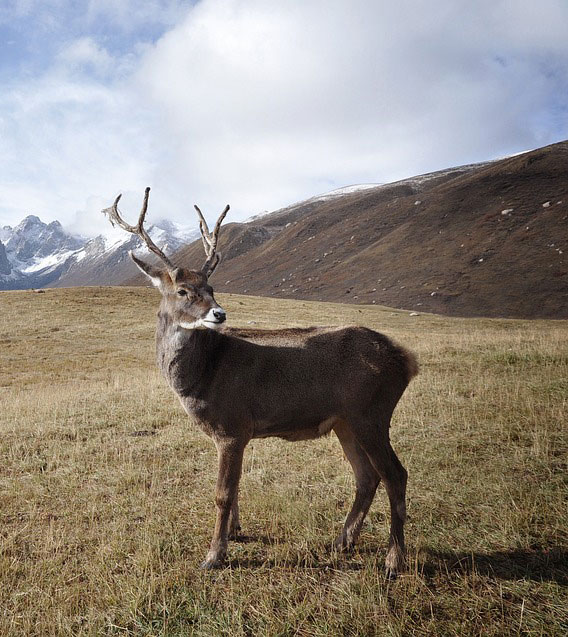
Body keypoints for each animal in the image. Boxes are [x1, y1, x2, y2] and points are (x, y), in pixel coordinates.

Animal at [104, 186, 420, 572]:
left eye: (212, 286)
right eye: (182, 291)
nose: (219, 313)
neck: (202, 375)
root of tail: (406, 360)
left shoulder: (232, 425)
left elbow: (223, 493)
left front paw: (214, 555)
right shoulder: (233, 433)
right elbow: (236, 488)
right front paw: (235, 533)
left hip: (371, 412)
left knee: (396, 474)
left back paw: (394, 559)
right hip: (346, 421)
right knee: (367, 475)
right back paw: (343, 541)